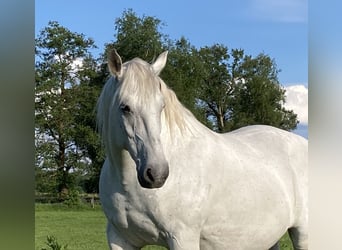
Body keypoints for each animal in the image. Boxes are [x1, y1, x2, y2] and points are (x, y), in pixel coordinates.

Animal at [96, 49, 308, 250]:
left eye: (161, 106)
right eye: (125, 107)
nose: (156, 174)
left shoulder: (182, 238)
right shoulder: (120, 239)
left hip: (303, 233)